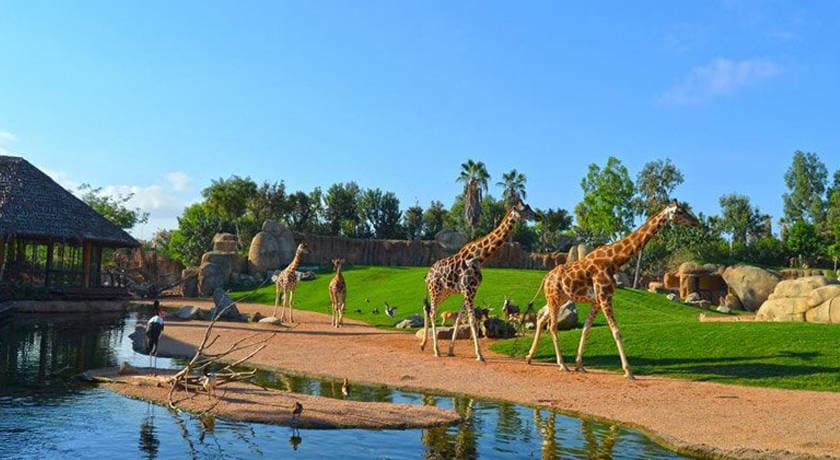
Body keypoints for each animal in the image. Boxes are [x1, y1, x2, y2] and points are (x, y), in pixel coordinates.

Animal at [420, 199, 540, 362]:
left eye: (529, 207)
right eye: (525, 210)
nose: (538, 216)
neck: (480, 257)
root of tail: (428, 274)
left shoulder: (470, 290)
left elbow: (459, 318)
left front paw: (451, 350)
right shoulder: (468, 290)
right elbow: (472, 320)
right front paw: (479, 355)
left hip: (445, 292)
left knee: (427, 309)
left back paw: (423, 345)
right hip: (435, 289)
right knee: (432, 312)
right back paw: (436, 350)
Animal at [520, 199, 700, 380]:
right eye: (680, 212)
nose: (696, 222)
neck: (614, 261)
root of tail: (546, 277)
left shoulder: (596, 301)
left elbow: (586, 330)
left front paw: (579, 365)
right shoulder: (605, 297)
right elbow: (616, 331)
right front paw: (628, 371)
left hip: (559, 298)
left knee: (541, 317)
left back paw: (529, 357)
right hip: (554, 297)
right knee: (552, 325)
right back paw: (562, 364)